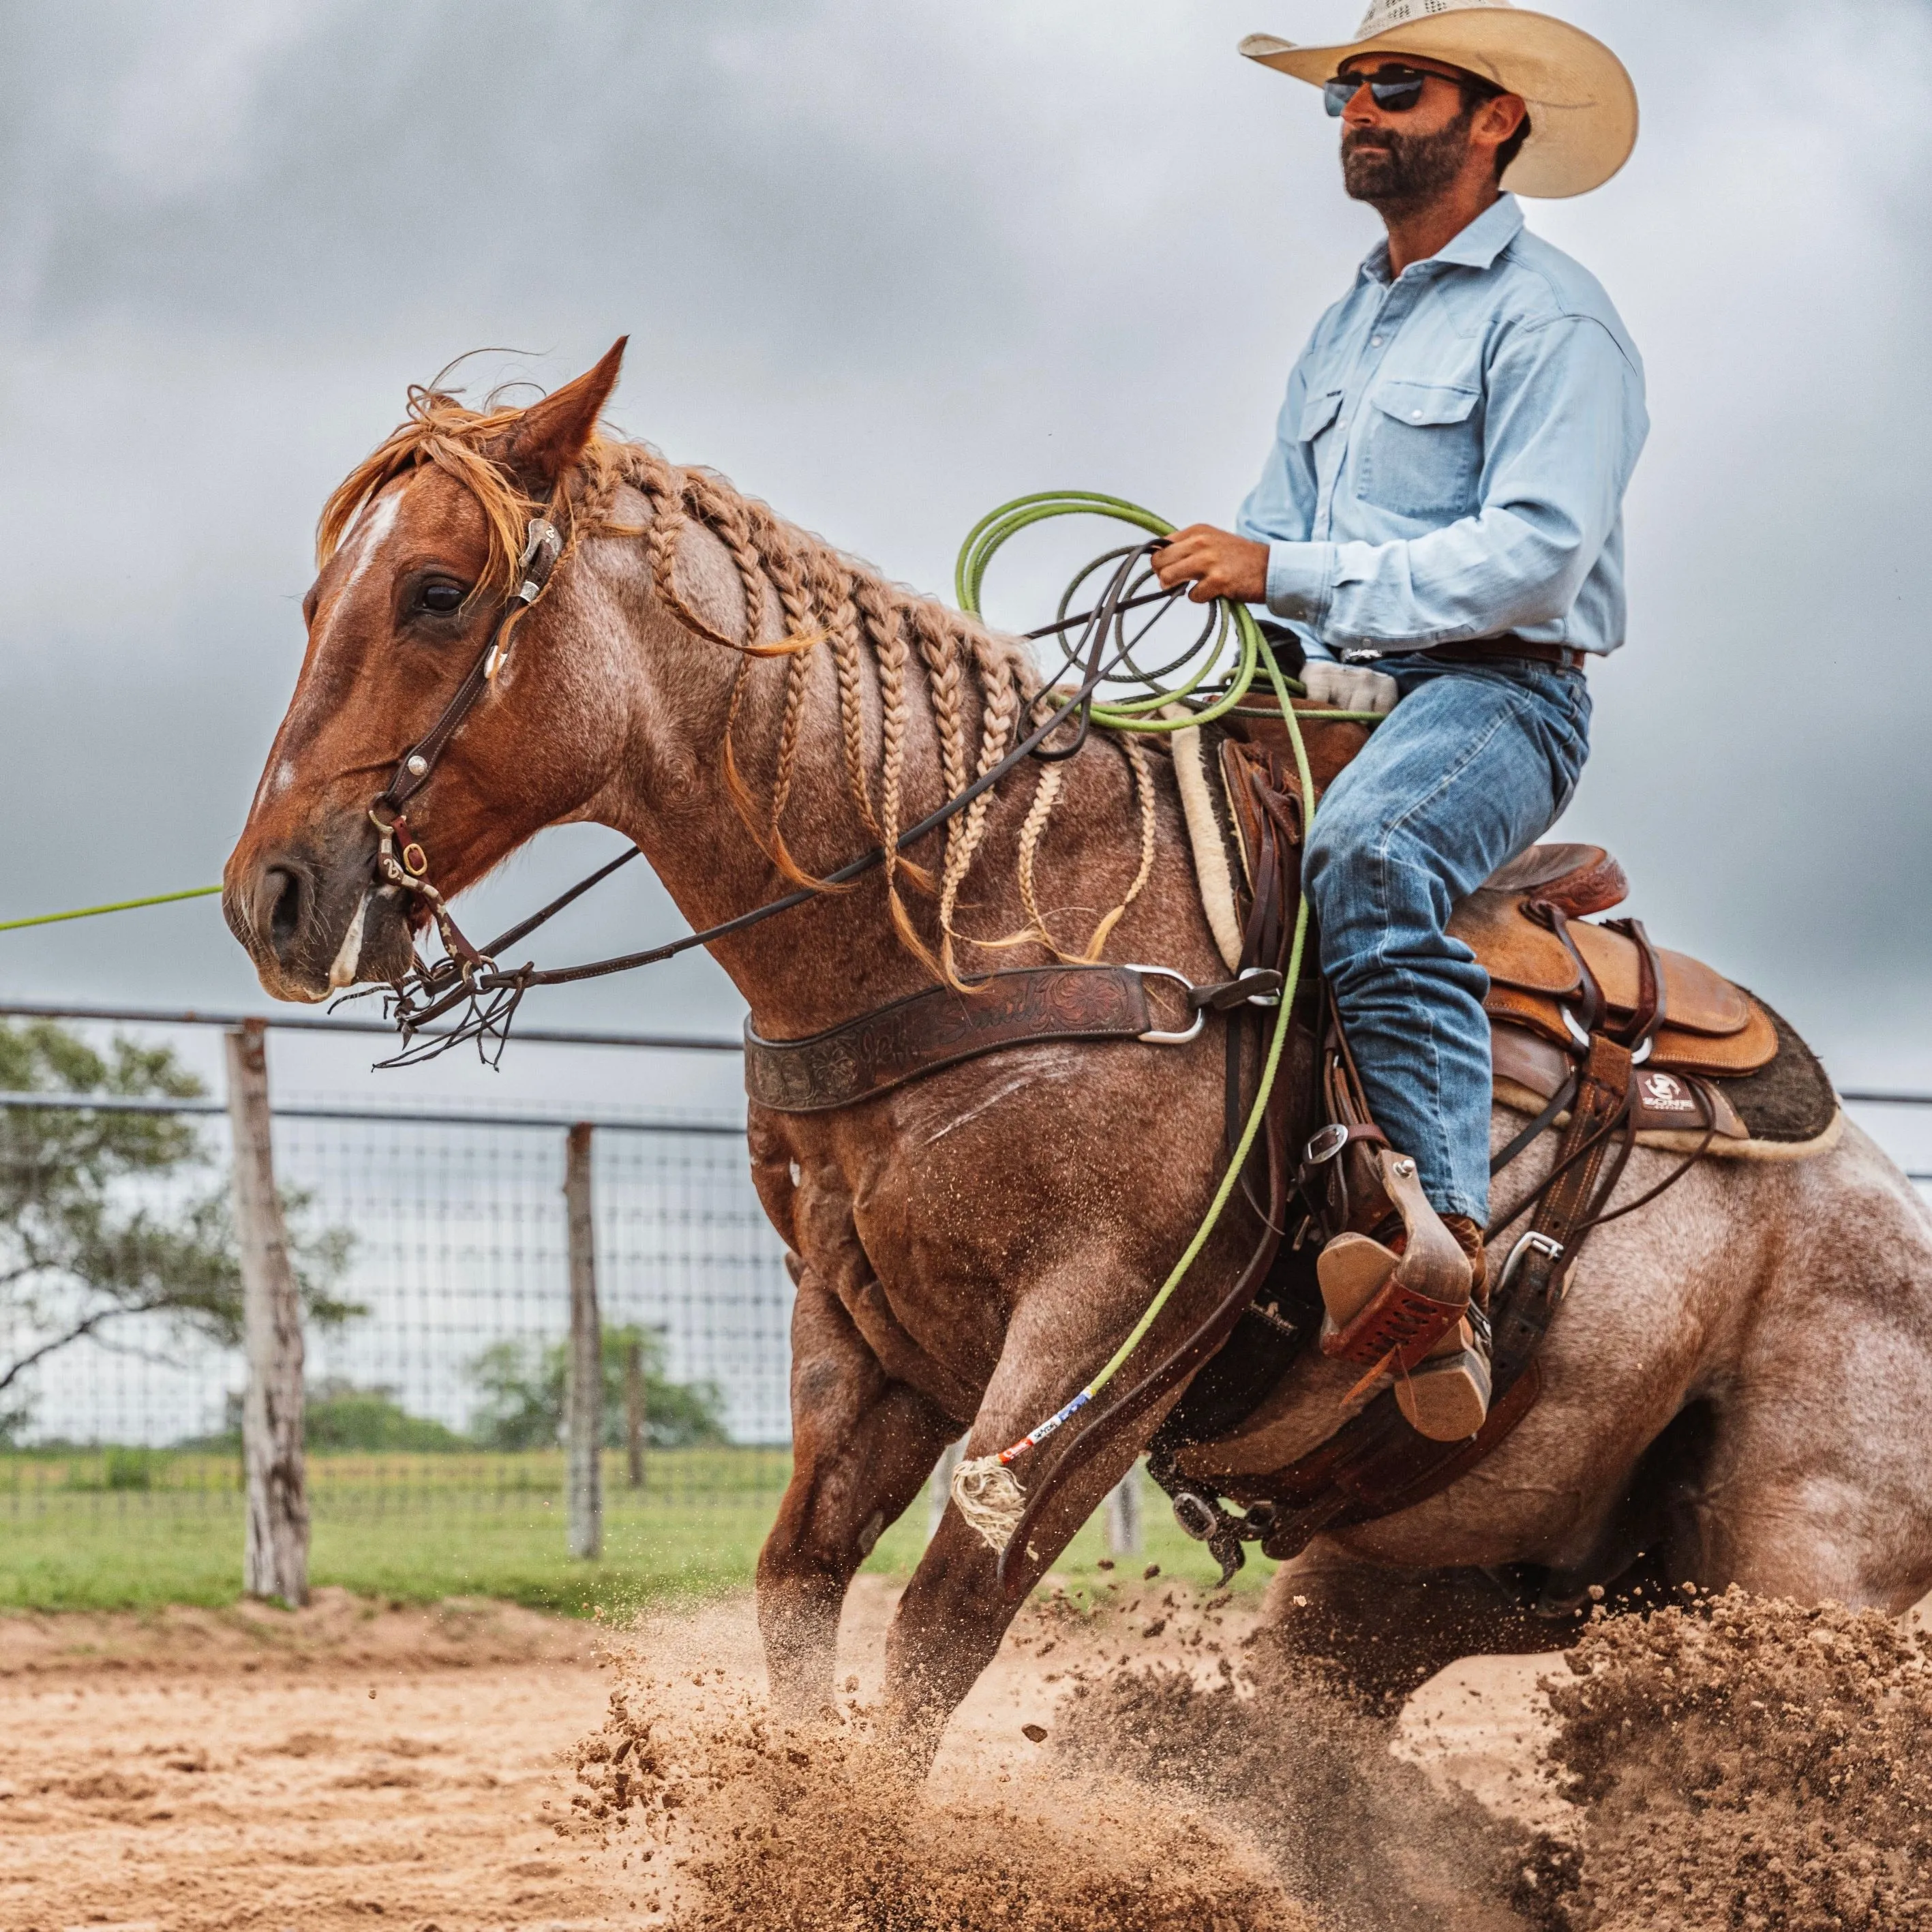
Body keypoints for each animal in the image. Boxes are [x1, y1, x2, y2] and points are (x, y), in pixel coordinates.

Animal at [233, 348, 1932, 1769]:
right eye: (310, 600)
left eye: (438, 590)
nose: (274, 894)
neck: (991, 906)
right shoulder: (863, 1334)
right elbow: (800, 1585)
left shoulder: (1108, 1333)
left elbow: (940, 1624)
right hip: (1424, 1576)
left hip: (1790, 1563)